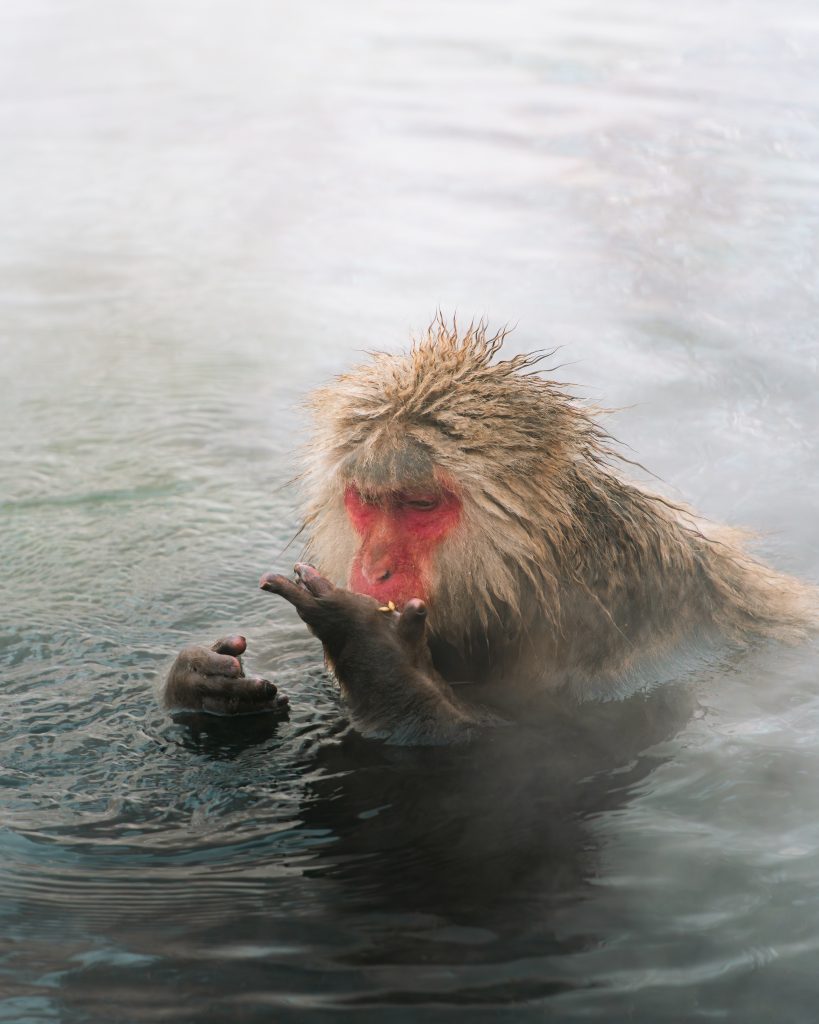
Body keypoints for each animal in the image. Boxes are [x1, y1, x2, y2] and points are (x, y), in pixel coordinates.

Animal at [162, 316, 818, 740]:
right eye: (369, 501)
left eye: (420, 504)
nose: (374, 568)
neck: (525, 584)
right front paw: (203, 681)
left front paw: (367, 645)